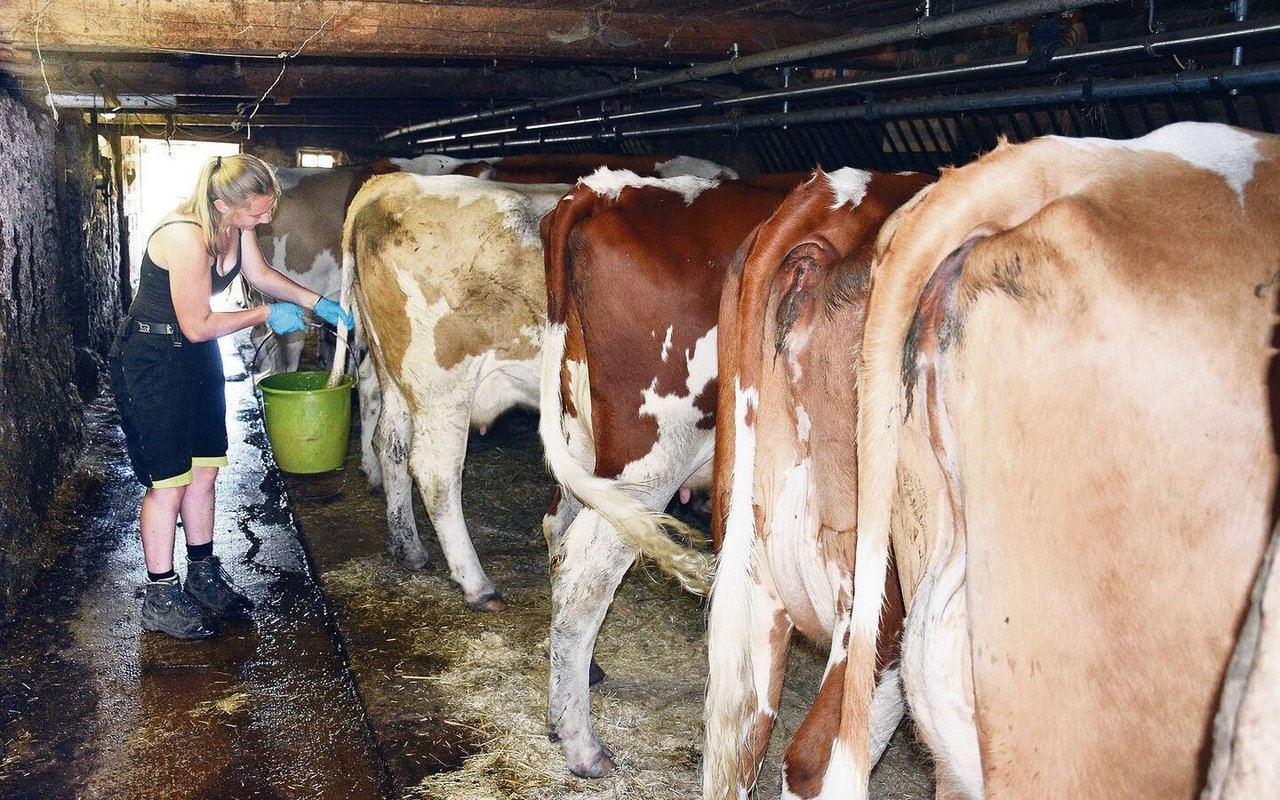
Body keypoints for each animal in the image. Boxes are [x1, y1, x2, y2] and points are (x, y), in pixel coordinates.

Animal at [540, 166, 808, 773]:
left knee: (557, 530)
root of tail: (607, 188)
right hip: (651, 456)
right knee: (587, 569)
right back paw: (581, 743)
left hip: (583, 445)